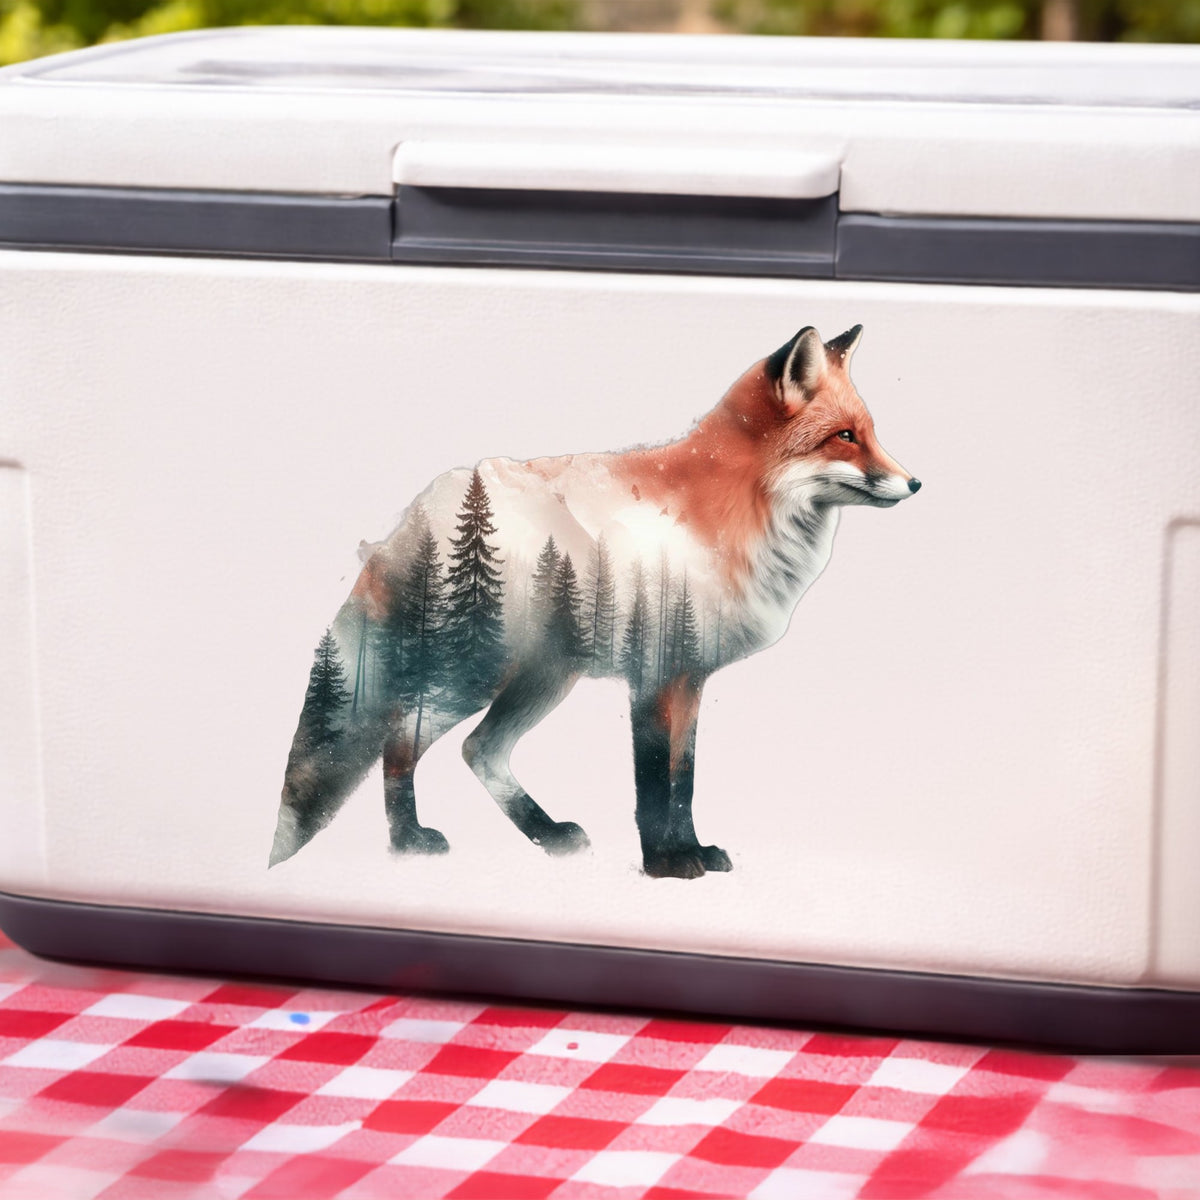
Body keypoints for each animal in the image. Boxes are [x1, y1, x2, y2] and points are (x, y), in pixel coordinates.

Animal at [269, 324, 920, 879]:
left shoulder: (689, 678)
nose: (915, 483)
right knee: (401, 738)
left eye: (871, 432)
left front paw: (693, 852)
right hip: (472, 671)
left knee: (479, 750)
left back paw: (547, 835)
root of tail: (423, 507)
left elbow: (684, 781)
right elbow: (655, 783)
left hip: (543, 678)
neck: (733, 514)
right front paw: (666, 864)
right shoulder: (655, 673)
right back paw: (408, 842)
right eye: (845, 436)